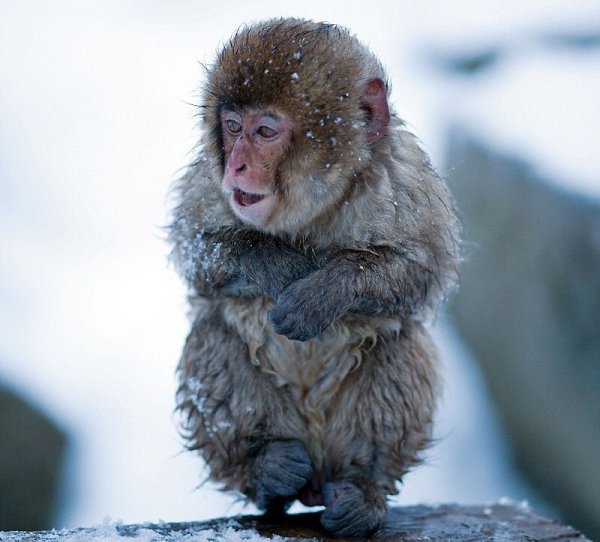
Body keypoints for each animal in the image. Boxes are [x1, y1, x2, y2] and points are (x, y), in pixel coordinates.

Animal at [169, 17, 460, 540]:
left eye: (266, 131)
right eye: (232, 127)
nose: (237, 165)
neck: (312, 209)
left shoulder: (403, 178)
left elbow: (424, 267)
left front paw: (322, 293)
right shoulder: (209, 182)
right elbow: (195, 245)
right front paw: (278, 266)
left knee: (400, 343)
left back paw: (362, 489)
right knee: (214, 332)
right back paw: (265, 469)